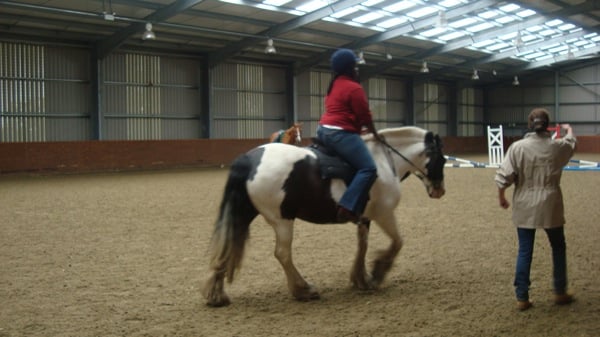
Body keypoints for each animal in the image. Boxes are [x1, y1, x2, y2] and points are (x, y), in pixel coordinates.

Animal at [205, 125, 446, 304]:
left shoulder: (364, 218)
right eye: (442, 159)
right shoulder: (384, 214)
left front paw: (361, 279)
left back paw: (216, 294)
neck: (384, 161)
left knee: (228, 246)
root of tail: (250, 159)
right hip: (282, 220)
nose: (440, 191)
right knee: (282, 254)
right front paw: (378, 272)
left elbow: (363, 245)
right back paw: (303, 289)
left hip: (244, 214)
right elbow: (397, 242)